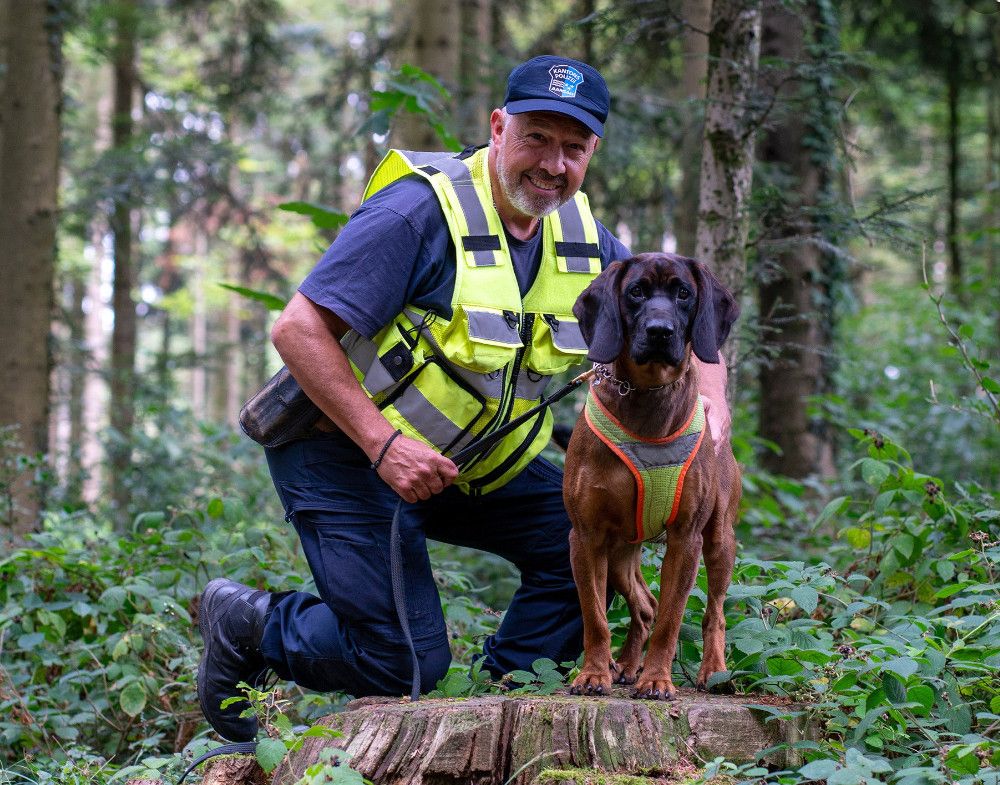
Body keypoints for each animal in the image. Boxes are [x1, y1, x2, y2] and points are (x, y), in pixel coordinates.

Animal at [568, 251, 740, 700]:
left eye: (683, 294)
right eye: (636, 292)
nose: (660, 331)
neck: (645, 394)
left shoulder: (686, 538)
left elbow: (671, 619)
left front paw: (658, 680)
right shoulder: (586, 535)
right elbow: (595, 616)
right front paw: (594, 674)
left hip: (720, 539)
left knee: (714, 612)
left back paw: (713, 671)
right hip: (619, 551)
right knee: (643, 605)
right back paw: (626, 667)